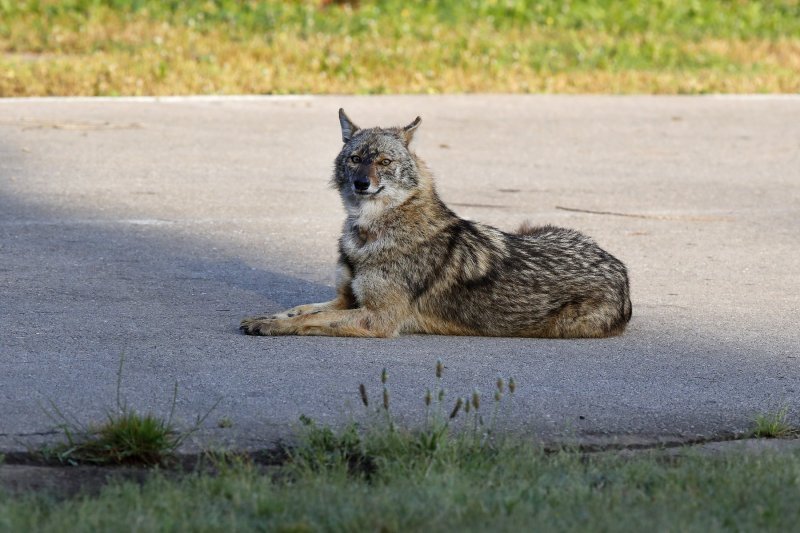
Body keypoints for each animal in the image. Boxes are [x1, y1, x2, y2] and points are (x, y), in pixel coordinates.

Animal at [238, 109, 632, 336]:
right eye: (355, 159)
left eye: (383, 162)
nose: (361, 183)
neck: (368, 234)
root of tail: (621, 271)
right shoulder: (346, 299)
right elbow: (303, 309)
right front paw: (267, 317)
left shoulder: (378, 319)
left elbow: (309, 321)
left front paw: (271, 325)